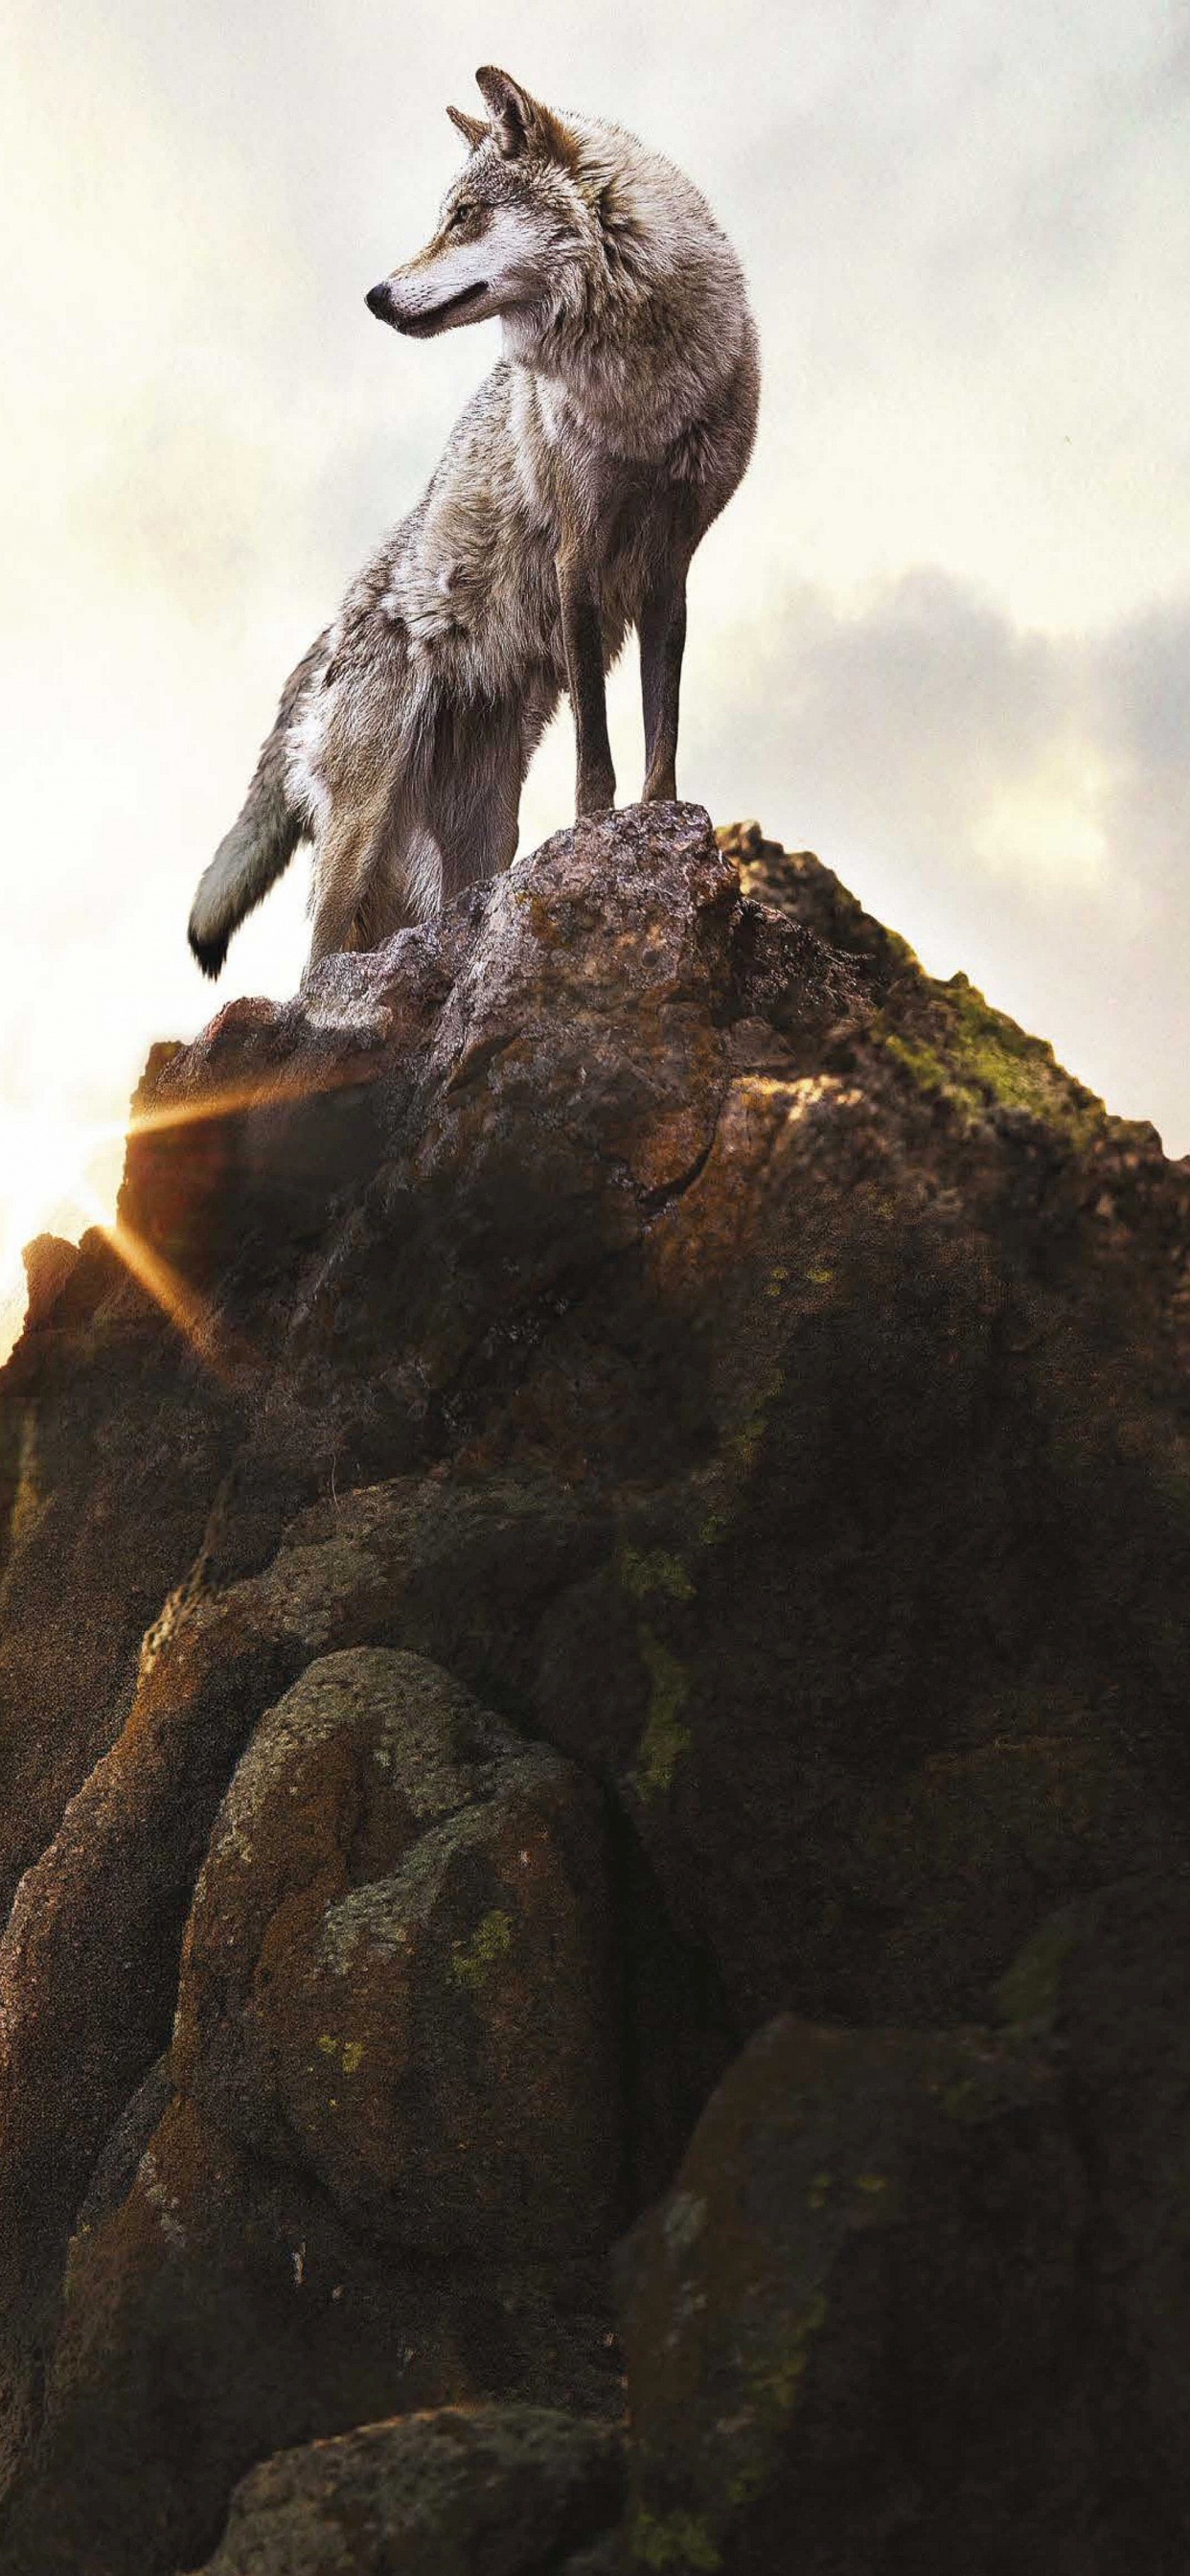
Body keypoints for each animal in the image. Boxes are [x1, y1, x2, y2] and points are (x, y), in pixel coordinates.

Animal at [187, 66, 759, 979]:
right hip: (365, 833)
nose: (375, 296)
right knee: (313, 965)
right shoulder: (577, 559)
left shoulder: (670, 570)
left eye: (462, 218)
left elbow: (659, 738)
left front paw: (663, 833)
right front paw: (597, 836)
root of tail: (325, 641)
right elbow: (596, 752)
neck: (638, 390)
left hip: (483, 833)